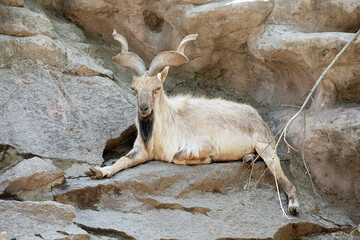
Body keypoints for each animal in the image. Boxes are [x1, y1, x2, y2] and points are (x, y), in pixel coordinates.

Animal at [86, 30, 300, 216]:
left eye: (157, 88)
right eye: (134, 89)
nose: (144, 109)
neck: (166, 128)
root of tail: (255, 114)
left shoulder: (204, 144)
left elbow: (177, 156)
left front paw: (207, 159)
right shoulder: (142, 152)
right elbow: (123, 159)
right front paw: (98, 171)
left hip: (265, 145)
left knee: (283, 178)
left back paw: (293, 206)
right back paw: (247, 158)